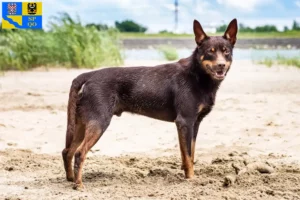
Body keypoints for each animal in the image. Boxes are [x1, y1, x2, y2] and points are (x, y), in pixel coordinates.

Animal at [62, 18, 238, 189]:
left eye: (226, 51)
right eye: (210, 52)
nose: (221, 65)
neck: (198, 75)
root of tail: (88, 75)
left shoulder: (195, 123)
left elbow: (190, 153)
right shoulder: (185, 121)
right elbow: (188, 156)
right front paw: (191, 179)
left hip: (81, 123)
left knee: (67, 151)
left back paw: (70, 179)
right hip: (99, 122)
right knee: (79, 152)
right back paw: (79, 184)